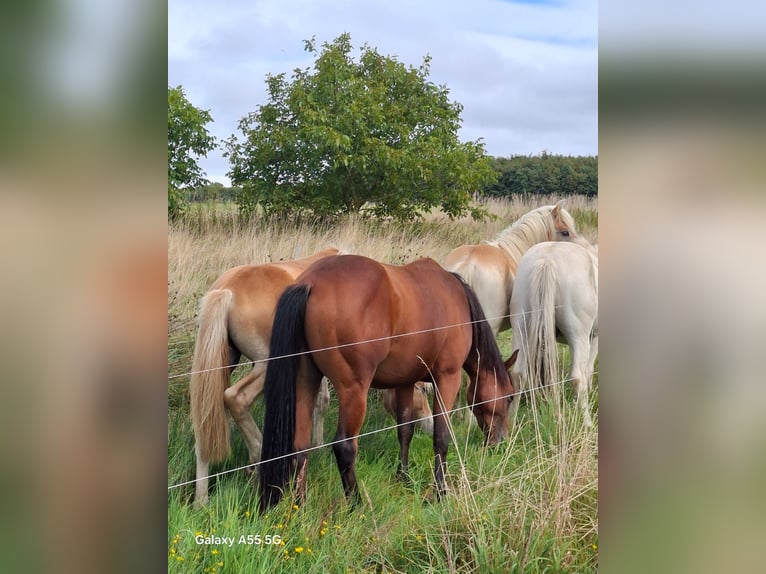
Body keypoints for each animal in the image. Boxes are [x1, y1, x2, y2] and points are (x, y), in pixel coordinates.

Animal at [189, 248, 338, 507]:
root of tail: (226, 290)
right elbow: (322, 401)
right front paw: (319, 446)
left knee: (204, 421)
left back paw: (201, 499)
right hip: (267, 365)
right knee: (236, 398)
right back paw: (258, 460)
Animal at [258, 255, 517, 511]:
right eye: (510, 396)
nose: (500, 442)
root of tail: (311, 282)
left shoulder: (405, 383)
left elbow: (405, 431)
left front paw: (404, 477)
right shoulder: (447, 378)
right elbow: (442, 436)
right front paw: (440, 492)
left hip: (305, 381)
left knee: (299, 446)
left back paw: (300, 506)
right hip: (353, 390)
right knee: (344, 446)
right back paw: (357, 505)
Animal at [508, 239, 598, 427]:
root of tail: (547, 260)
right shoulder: (594, 338)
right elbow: (588, 370)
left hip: (521, 329)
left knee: (518, 374)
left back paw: (511, 422)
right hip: (579, 337)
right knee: (577, 377)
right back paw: (587, 422)